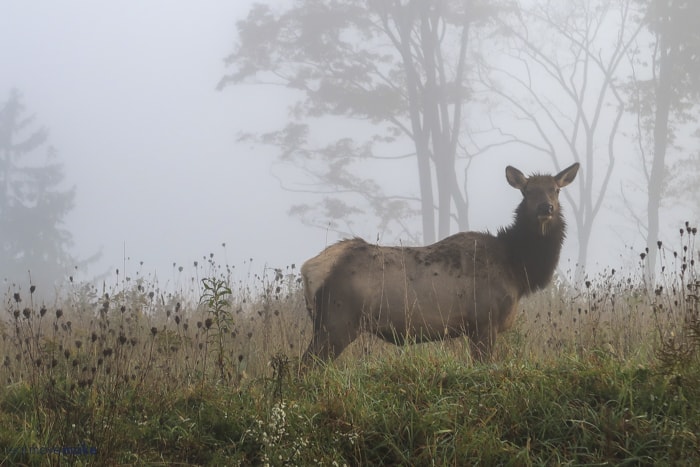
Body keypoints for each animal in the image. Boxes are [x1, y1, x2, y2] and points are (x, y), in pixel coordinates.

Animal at [300, 163, 580, 364]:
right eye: (527, 191)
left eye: (556, 189)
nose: (546, 208)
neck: (518, 270)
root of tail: (309, 269)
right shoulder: (484, 320)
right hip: (337, 320)